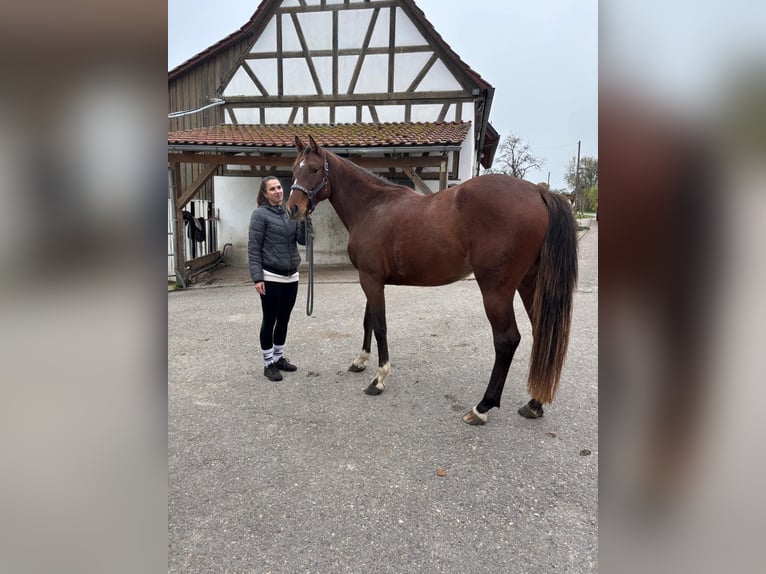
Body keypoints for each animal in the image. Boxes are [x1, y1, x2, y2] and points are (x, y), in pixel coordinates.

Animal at [290, 134, 584, 424]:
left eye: (314, 169)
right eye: (294, 169)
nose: (293, 208)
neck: (373, 206)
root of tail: (539, 192)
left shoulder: (371, 280)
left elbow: (380, 326)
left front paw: (379, 378)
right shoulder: (370, 278)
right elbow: (368, 322)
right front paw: (360, 361)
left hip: (496, 290)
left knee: (507, 340)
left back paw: (483, 407)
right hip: (529, 284)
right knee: (542, 334)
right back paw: (534, 404)